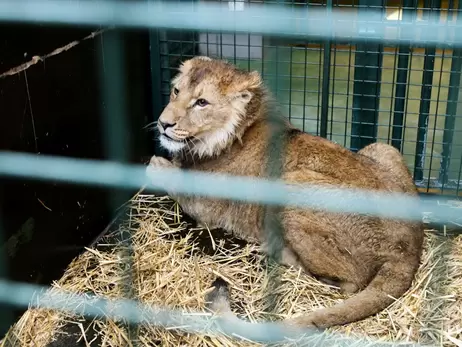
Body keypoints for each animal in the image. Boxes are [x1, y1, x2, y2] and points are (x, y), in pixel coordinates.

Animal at [146, 56, 424, 340]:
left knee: (349, 283)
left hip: (292, 184)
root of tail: (410, 247)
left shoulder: (206, 211)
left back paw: (276, 251)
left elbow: (169, 177)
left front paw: (156, 164)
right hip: (384, 148)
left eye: (202, 102)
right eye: (176, 91)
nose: (163, 123)